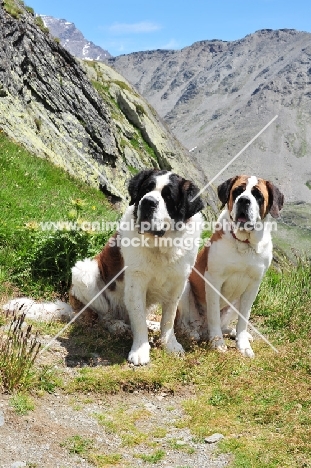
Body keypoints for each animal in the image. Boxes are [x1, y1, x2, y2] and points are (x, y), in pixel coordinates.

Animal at [69, 169, 205, 366]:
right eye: (146, 189)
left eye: (168, 196)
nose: (148, 202)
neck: (160, 244)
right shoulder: (136, 283)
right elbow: (139, 320)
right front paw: (140, 350)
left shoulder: (178, 283)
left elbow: (169, 318)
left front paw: (170, 344)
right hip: (85, 272)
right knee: (103, 314)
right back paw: (116, 325)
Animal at [176, 176, 286, 358]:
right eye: (238, 191)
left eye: (258, 195)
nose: (244, 200)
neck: (244, 243)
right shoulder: (214, 280)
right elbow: (213, 314)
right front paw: (218, 343)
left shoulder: (253, 286)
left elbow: (244, 319)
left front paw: (243, 345)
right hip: (185, 289)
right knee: (185, 323)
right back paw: (193, 332)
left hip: (236, 302)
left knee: (225, 324)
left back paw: (233, 332)